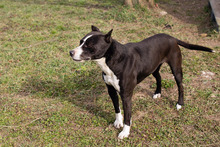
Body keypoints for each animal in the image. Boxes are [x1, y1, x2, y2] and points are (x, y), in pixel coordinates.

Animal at [69, 25, 214, 139]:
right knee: (159, 77)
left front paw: (125, 132)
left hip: (176, 68)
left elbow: (128, 115)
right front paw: (118, 122)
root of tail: (172, 37)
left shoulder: (126, 95)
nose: (70, 52)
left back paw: (180, 103)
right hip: (154, 67)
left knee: (180, 86)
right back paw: (157, 93)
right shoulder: (111, 90)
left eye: (89, 45)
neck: (111, 59)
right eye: (80, 42)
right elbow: (117, 108)